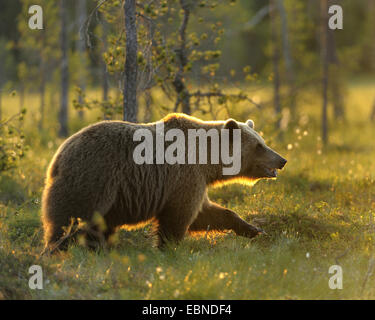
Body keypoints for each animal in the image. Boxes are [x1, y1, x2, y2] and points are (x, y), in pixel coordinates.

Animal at [41, 114, 286, 251]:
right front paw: (168, 248)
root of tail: (58, 155)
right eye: (259, 146)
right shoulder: (184, 176)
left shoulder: (195, 180)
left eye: (262, 140)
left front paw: (254, 229)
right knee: (73, 220)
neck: (207, 159)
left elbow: (208, 213)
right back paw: (58, 248)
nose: (282, 160)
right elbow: (179, 216)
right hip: (93, 181)